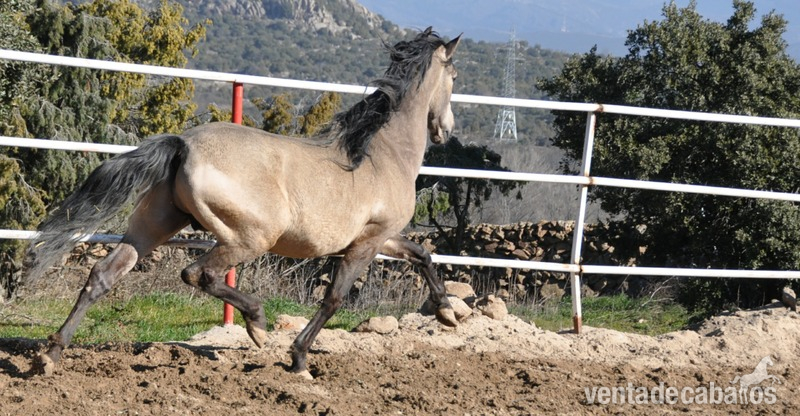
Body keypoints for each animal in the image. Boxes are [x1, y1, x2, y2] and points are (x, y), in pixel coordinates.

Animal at [25, 27, 462, 379]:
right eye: (454, 76)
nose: (446, 130)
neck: (381, 153)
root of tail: (184, 144)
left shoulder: (385, 237)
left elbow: (423, 255)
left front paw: (447, 313)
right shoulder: (367, 242)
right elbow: (334, 298)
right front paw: (299, 360)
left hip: (155, 224)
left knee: (104, 274)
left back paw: (50, 356)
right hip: (249, 238)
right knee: (199, 274)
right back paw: (257, 323)